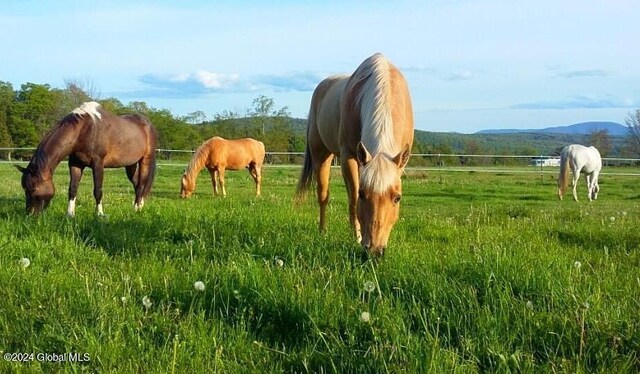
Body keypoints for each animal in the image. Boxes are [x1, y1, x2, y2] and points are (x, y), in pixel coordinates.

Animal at [15, 101, 158, 216]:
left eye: (33, 189)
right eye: (24, 189)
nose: (30, 214)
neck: (84, 130)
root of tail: (148, 124)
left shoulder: (98, 164)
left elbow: (97, 190)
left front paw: (99, 214)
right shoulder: (75, 164)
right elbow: (72, 189)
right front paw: (70, 214)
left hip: (145, 160)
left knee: (141, 185)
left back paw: (137, 209)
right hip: (130, 164)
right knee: (136, 184)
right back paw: (138, 206)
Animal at [296, 53, 416, 258]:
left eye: (397, 198)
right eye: (362, 194)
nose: (374, 250)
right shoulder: (348, 156)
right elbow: (352, 200)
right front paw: (357, 238)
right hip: (321, 155)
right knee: (323, 196)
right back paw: (322, 231)